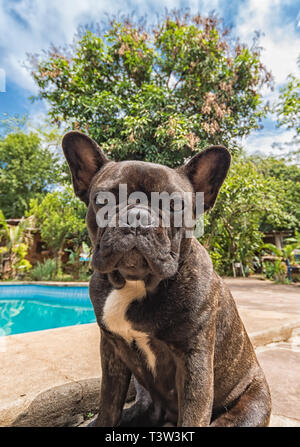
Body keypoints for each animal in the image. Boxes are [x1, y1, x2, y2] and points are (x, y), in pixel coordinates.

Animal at [62, 131, 270, 428]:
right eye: (104, 200)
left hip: (250, 405)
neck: (136, 283)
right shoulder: (112, 352)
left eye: (174, 205)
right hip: (144, 396)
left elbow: (193, 414)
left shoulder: (194, 361)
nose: (137, 217)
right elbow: (108, 406)